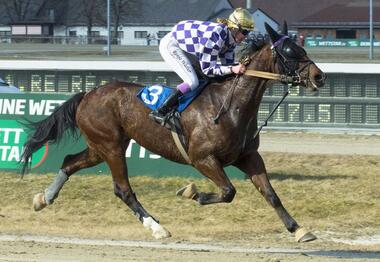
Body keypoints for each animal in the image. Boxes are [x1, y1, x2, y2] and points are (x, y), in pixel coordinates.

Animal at [20, 24, 326, 242]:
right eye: (289, 52)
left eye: (301, 47)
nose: (319, 76)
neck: (230, 105)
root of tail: (88, 94)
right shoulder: (202, 158)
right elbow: (228, 191)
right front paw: (192, 193)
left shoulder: (248, 156)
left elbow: (271, 194)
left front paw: (299, 230)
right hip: (111, 147)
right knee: (123, 190)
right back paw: (157, 228)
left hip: (100, 146)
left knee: (69, 162)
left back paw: (43, 198)